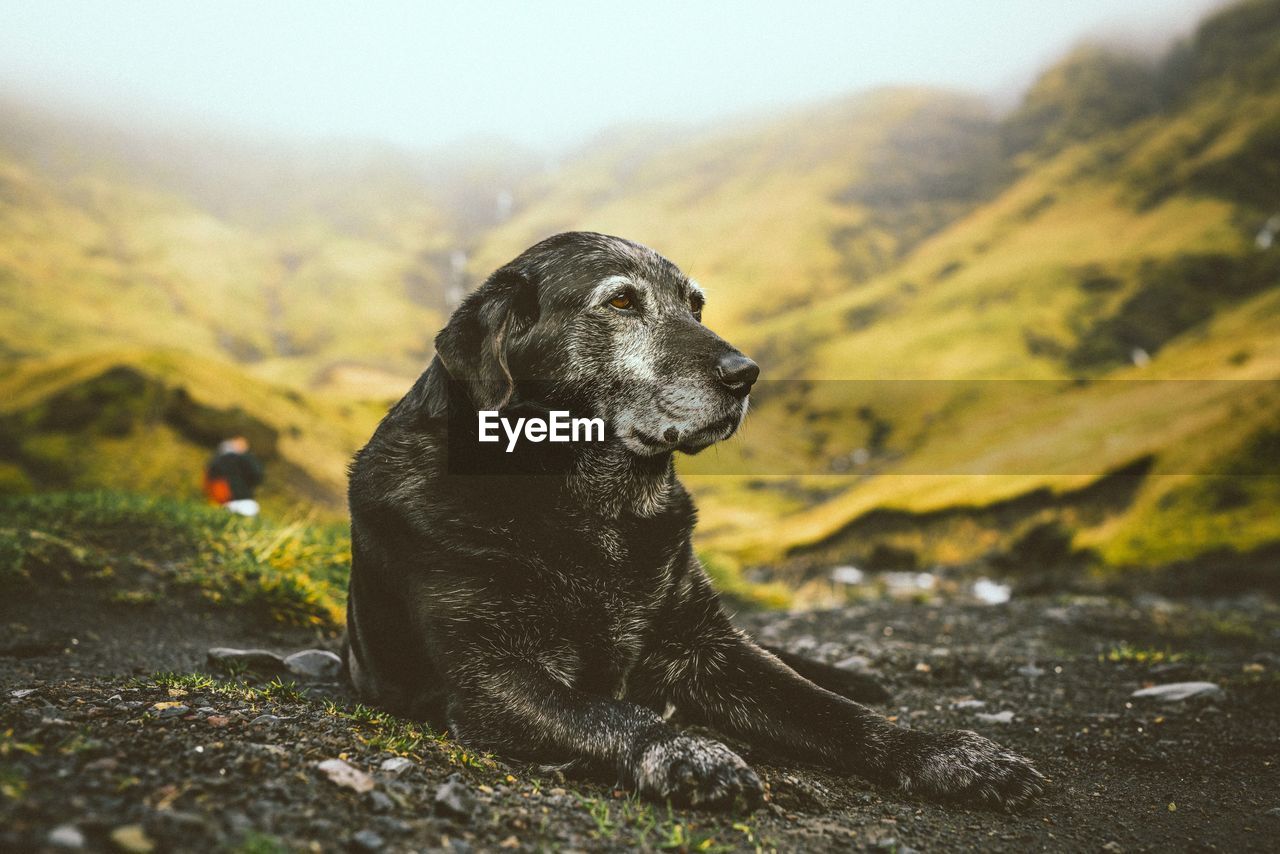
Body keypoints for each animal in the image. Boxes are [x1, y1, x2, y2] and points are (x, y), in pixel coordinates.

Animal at [345, 231, 1044, 809]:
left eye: (697, 306)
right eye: (622, 302)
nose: (746, 375)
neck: (600, 506)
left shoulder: (710, 648)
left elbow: (832, 712)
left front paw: (944, 752)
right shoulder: (489, 674)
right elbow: (610, 715)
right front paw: (689, 752)